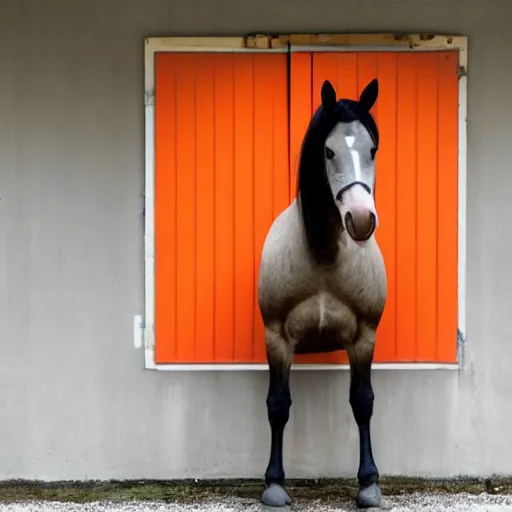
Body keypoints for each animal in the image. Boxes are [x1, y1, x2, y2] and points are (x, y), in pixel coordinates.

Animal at [258, 77, 386, 508]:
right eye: (329, 151)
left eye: (372, 149)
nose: (361, 218)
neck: (323, 257)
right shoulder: (277, 338)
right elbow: (278, 405)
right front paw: (274, 483)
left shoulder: (364, 337)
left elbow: (362, 402)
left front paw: (369, 482)